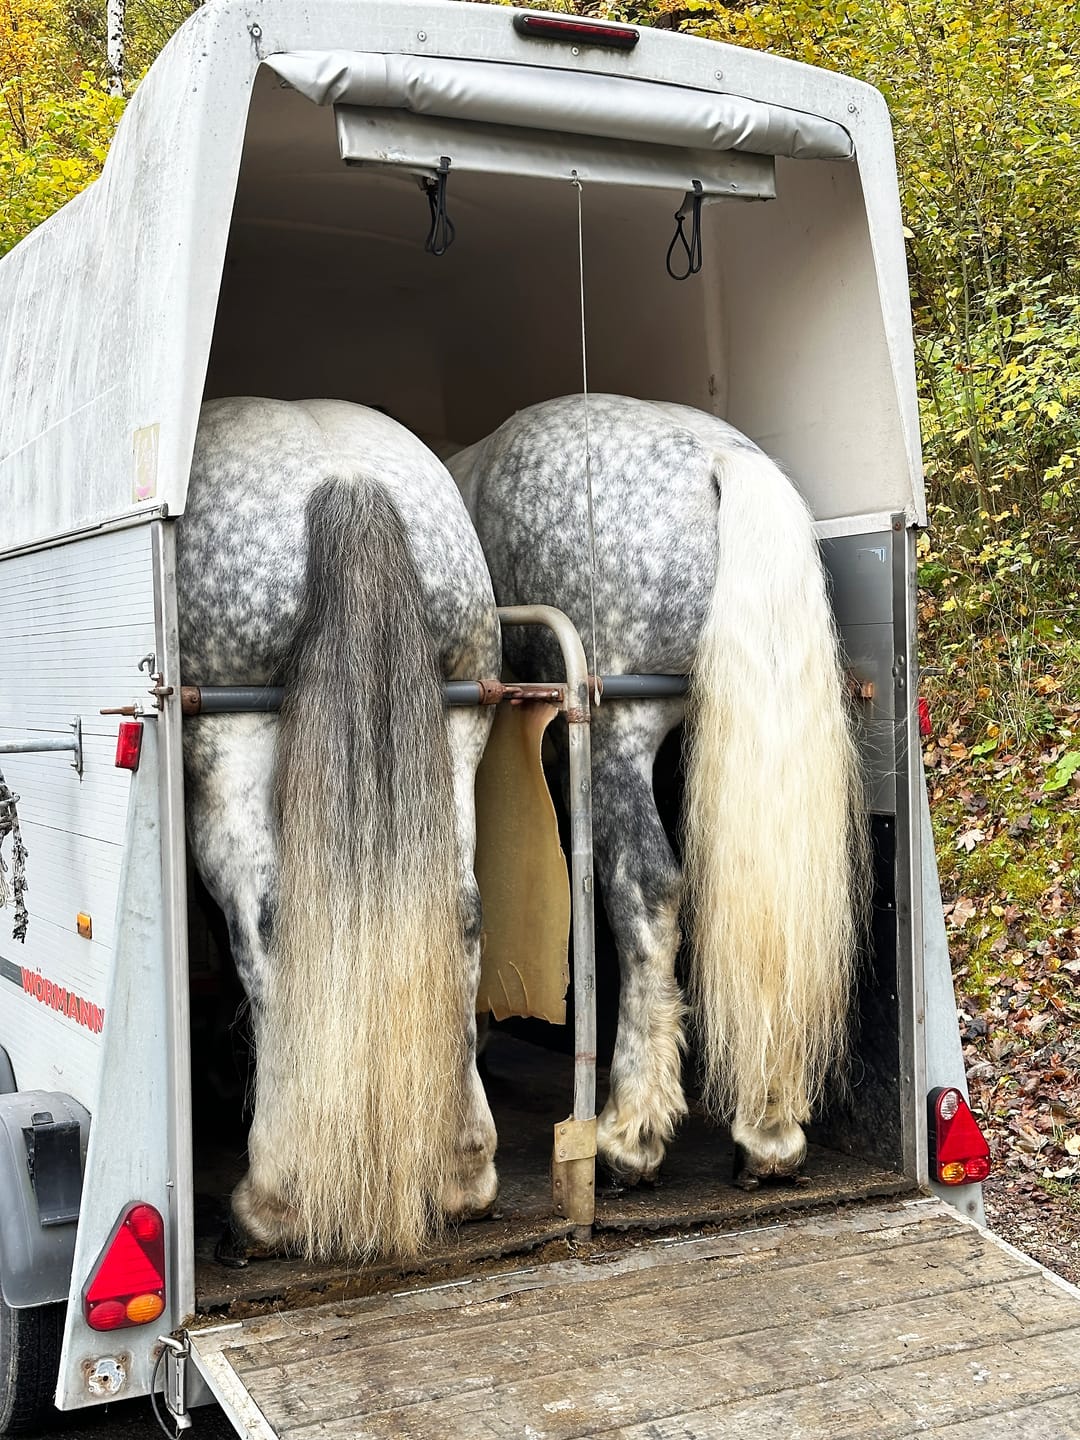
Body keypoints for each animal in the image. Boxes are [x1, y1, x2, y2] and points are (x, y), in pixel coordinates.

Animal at [176, 397, 502, 1260]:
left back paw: (274, 1199)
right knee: (460, 911)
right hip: (460, 723)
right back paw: (463, 1170)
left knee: (268, 917)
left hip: (233, 738)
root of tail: (347, 480)